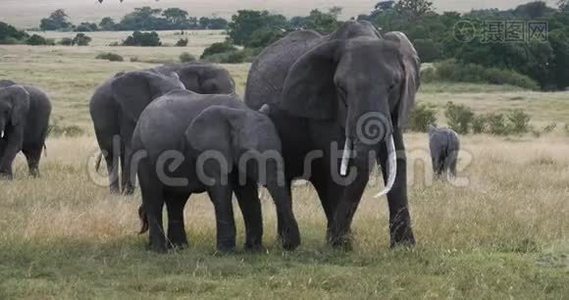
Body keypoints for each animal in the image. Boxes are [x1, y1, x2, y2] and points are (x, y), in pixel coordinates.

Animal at [131, 89, 300, 253]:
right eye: (250, 155)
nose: (288, 246)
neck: (240, 111)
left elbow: (247, 194)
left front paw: (254, 250)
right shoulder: (210, 150)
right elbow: (221, 192)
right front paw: (226, 252)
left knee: (177, 199)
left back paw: (178, 247)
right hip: (143, 154)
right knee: (154, 198)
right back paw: (160, 250)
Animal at [242, 19, 420, 247]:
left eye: (393, 86)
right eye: (341, 88)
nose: (340, 238)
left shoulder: (396, 109)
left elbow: (397, 158)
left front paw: (405, 247)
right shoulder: (324, 108)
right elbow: (337, 164)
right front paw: (341, 246)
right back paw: (292, 243)